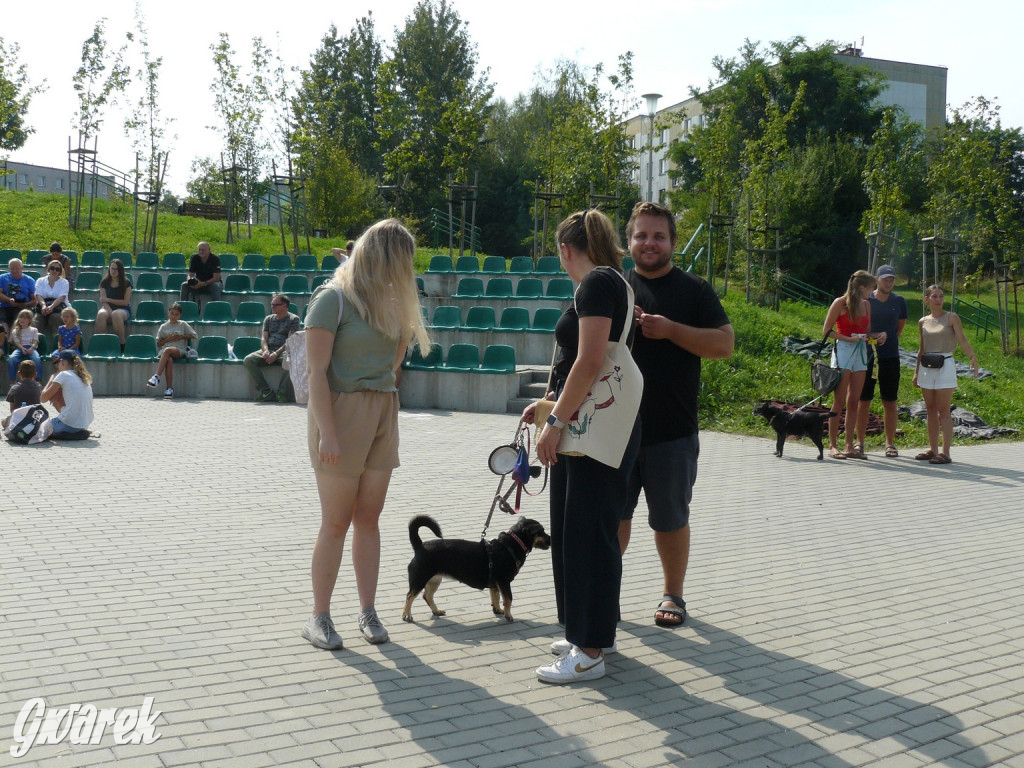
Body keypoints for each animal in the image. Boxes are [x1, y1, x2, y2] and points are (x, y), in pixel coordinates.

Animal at [401, 514, 552, 622]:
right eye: (541, 532)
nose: (551, 538)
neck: (513, 543)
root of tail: (420, 546)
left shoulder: (495, 584)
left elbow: (496, 597)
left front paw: (498, 610)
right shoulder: (504, 581)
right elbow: (508, 599)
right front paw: (508, 615)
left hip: (435, 579)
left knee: (427, 595)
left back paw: (436, 611)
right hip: (420, 579)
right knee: (410, 596)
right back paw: (407, 615)